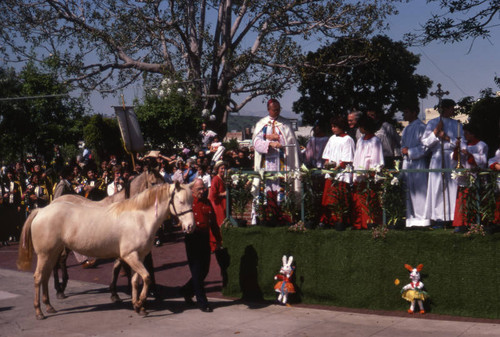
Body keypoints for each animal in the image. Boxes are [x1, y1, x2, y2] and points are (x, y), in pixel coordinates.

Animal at [17, 181, 194, 318]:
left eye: (191, 201)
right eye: (181, 201)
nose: (191, 227)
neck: (140, 218)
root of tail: (41, 210)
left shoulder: (140, 256)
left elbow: (136, 280)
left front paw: (138, 306)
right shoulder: (130, 256)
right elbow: (147, 277)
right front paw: (139, 303)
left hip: (52, 253)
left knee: (45, 277)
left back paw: (49, 306)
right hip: (45, 254)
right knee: (38, 277)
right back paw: (39, 312)